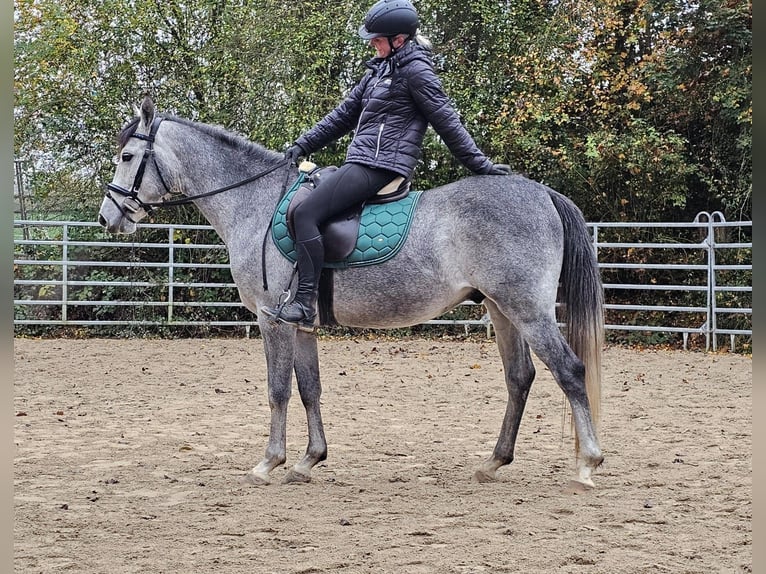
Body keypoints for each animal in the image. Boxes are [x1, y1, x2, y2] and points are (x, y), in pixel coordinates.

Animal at [97, 98, 608, 490]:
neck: (256, 204)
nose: (108, 217)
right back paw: (494, 462)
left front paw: (269, 462)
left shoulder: (271, 319)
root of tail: (541, 193)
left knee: (569, 371)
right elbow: (310, 389)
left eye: (127, 157)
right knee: (520, 379)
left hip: (528, 310)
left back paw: (588, 462)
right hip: (503, 312)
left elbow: (278, 390)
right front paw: (309, 461)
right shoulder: (301, 324)